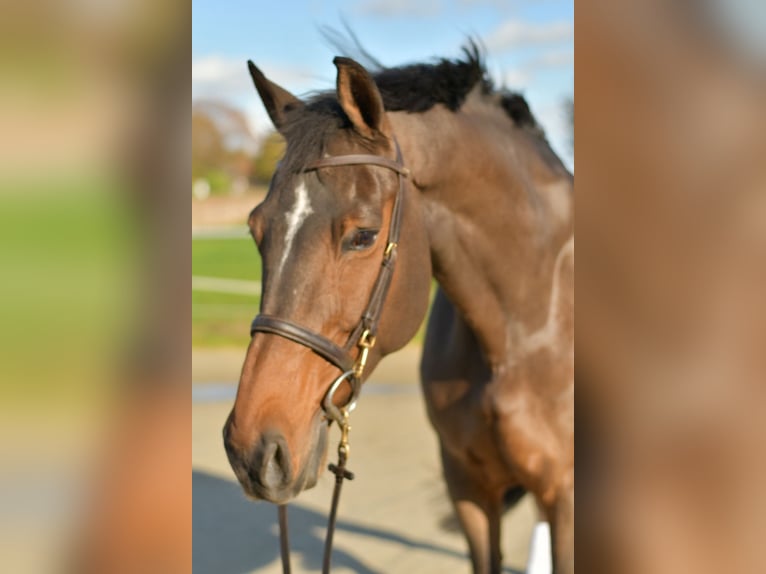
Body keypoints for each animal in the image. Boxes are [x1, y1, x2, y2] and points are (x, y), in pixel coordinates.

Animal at [223, 44, 574, 574]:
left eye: (363, 236)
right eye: (255, 229)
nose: (253, 450)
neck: (528, 329)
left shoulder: (567, 499)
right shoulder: (469, 490)